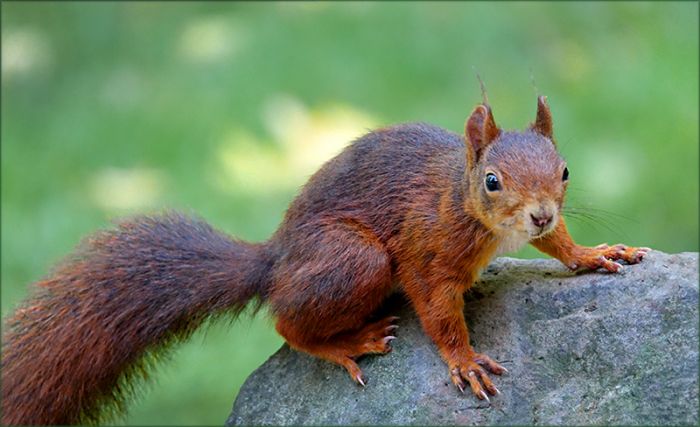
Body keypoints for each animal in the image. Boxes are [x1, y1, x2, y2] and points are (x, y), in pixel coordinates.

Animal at [1, 95, 649, 425]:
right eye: (492, 181)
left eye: (564, 170)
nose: (537, 213)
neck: (462, 203)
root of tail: (274, 261)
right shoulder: (425, 251)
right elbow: (438, 312)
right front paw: (464, 361)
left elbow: (559, 246)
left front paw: (593, 254)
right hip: (354, 261)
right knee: (285, 321)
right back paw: (344, 343)